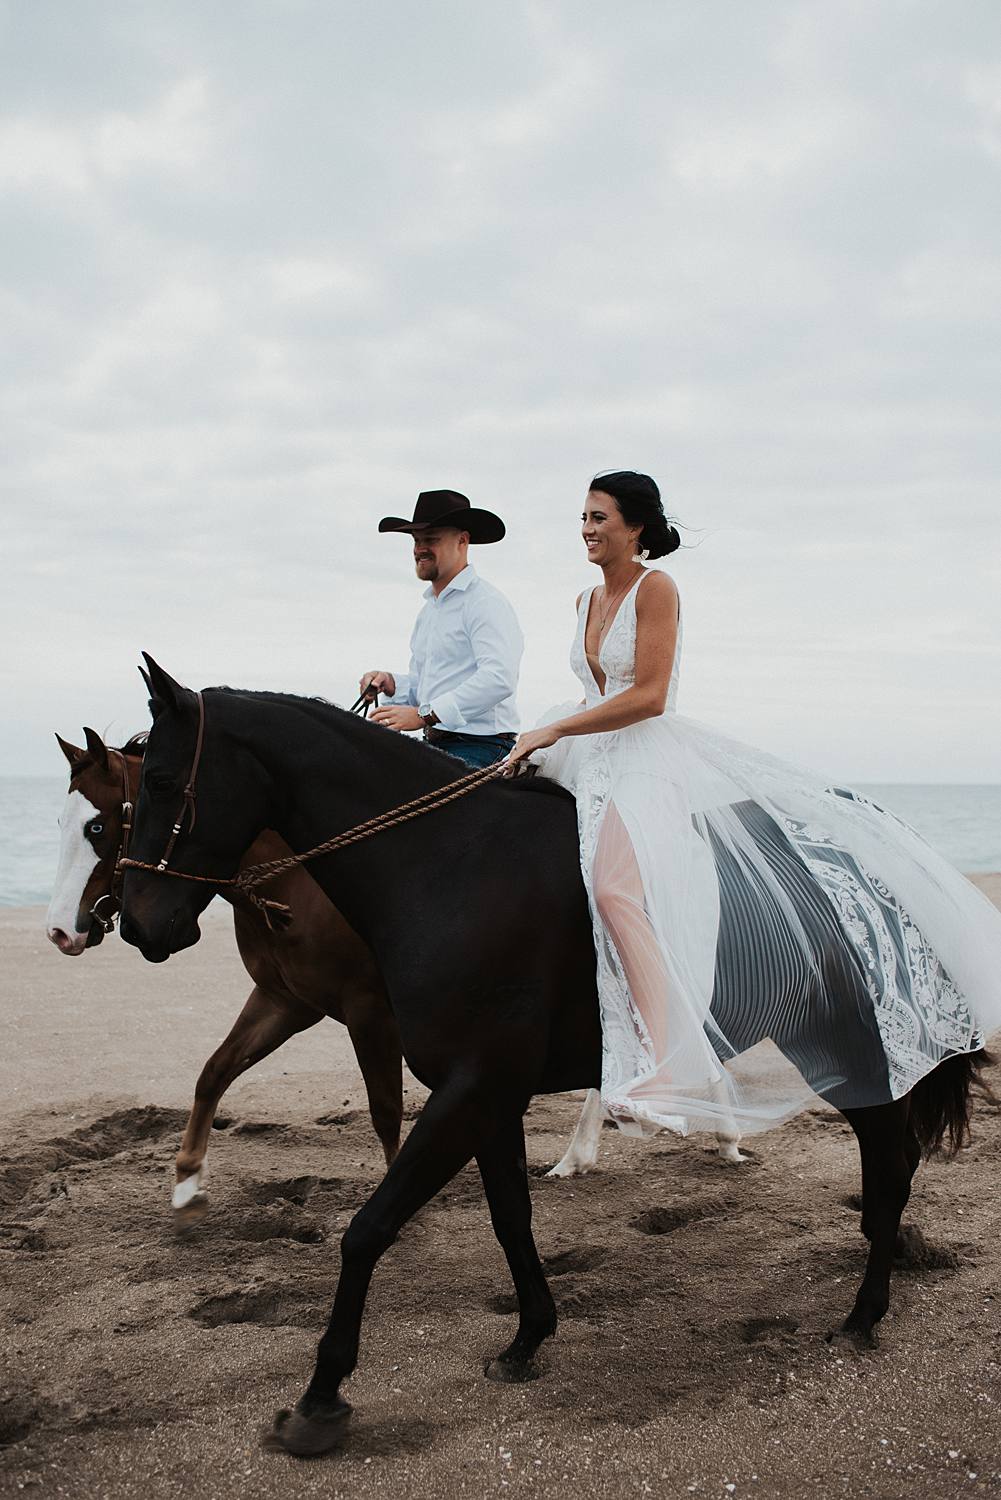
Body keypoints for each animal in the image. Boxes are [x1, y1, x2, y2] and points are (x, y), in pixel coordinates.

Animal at [45, 729, 408, 1218]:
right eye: (62, 823)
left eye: (96, 828)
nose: (59, 930)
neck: (301, 883)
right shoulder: (286, 1000)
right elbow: (215, 1070)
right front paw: (186, 1180)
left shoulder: (370, 1011)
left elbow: (386, 1110)